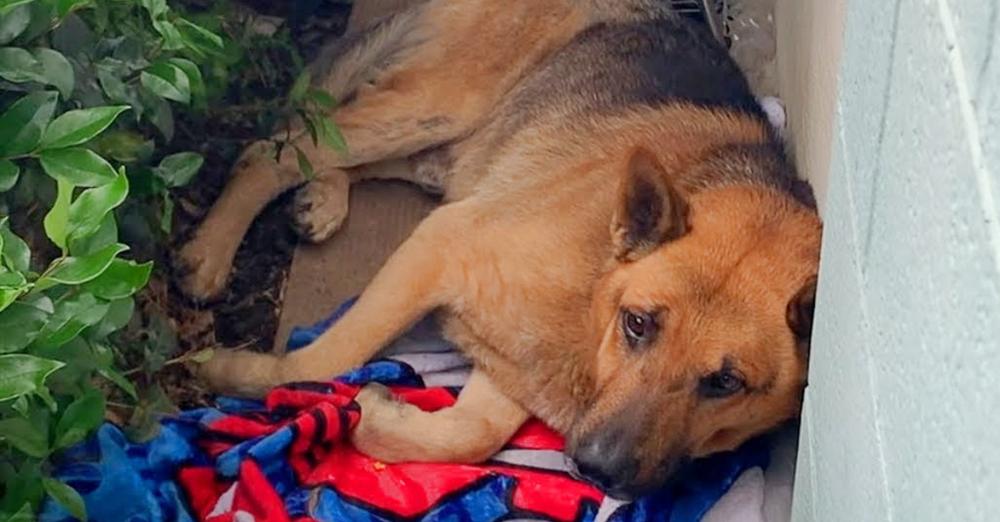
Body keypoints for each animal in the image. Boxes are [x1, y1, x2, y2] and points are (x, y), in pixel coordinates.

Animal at [180, 0, 820, 496]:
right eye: (638, 324)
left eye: (726, 384)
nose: (596, 471)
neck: (594, 298)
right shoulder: (438, 247)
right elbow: (326, 358)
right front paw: (240, 373)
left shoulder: (512, 369)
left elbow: (468, 436)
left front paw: (371, 417)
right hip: (436, 108)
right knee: (280, 147)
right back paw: (209, 254)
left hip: (459, 144)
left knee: (337, 149)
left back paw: (324, 198)